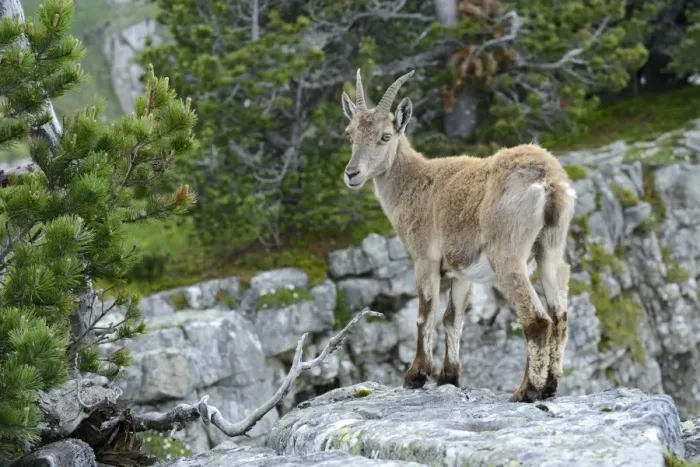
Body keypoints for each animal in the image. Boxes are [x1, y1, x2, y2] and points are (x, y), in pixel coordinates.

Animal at [340, 69, 576, 402]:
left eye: (385, 136)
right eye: (350, 135)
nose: (352, 174)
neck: (412, 183)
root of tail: (547, 182)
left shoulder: (425, 258)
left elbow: (425, 313)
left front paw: (416, 375)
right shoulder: (463, 271)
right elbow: (453, 318)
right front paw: (448, 376)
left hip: (508, 254)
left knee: (536, 320)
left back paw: (527, 390)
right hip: (550, 251)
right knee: (559, 316)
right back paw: (550, 385)